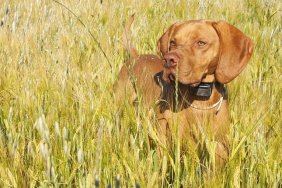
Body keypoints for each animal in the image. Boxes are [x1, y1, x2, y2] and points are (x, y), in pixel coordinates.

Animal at [114, 18, 253, 167]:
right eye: (172, 42)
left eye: (201, 43)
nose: (168, 60)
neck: (199, 99)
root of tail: (136, 56)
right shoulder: (166, 140)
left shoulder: (218, 146)